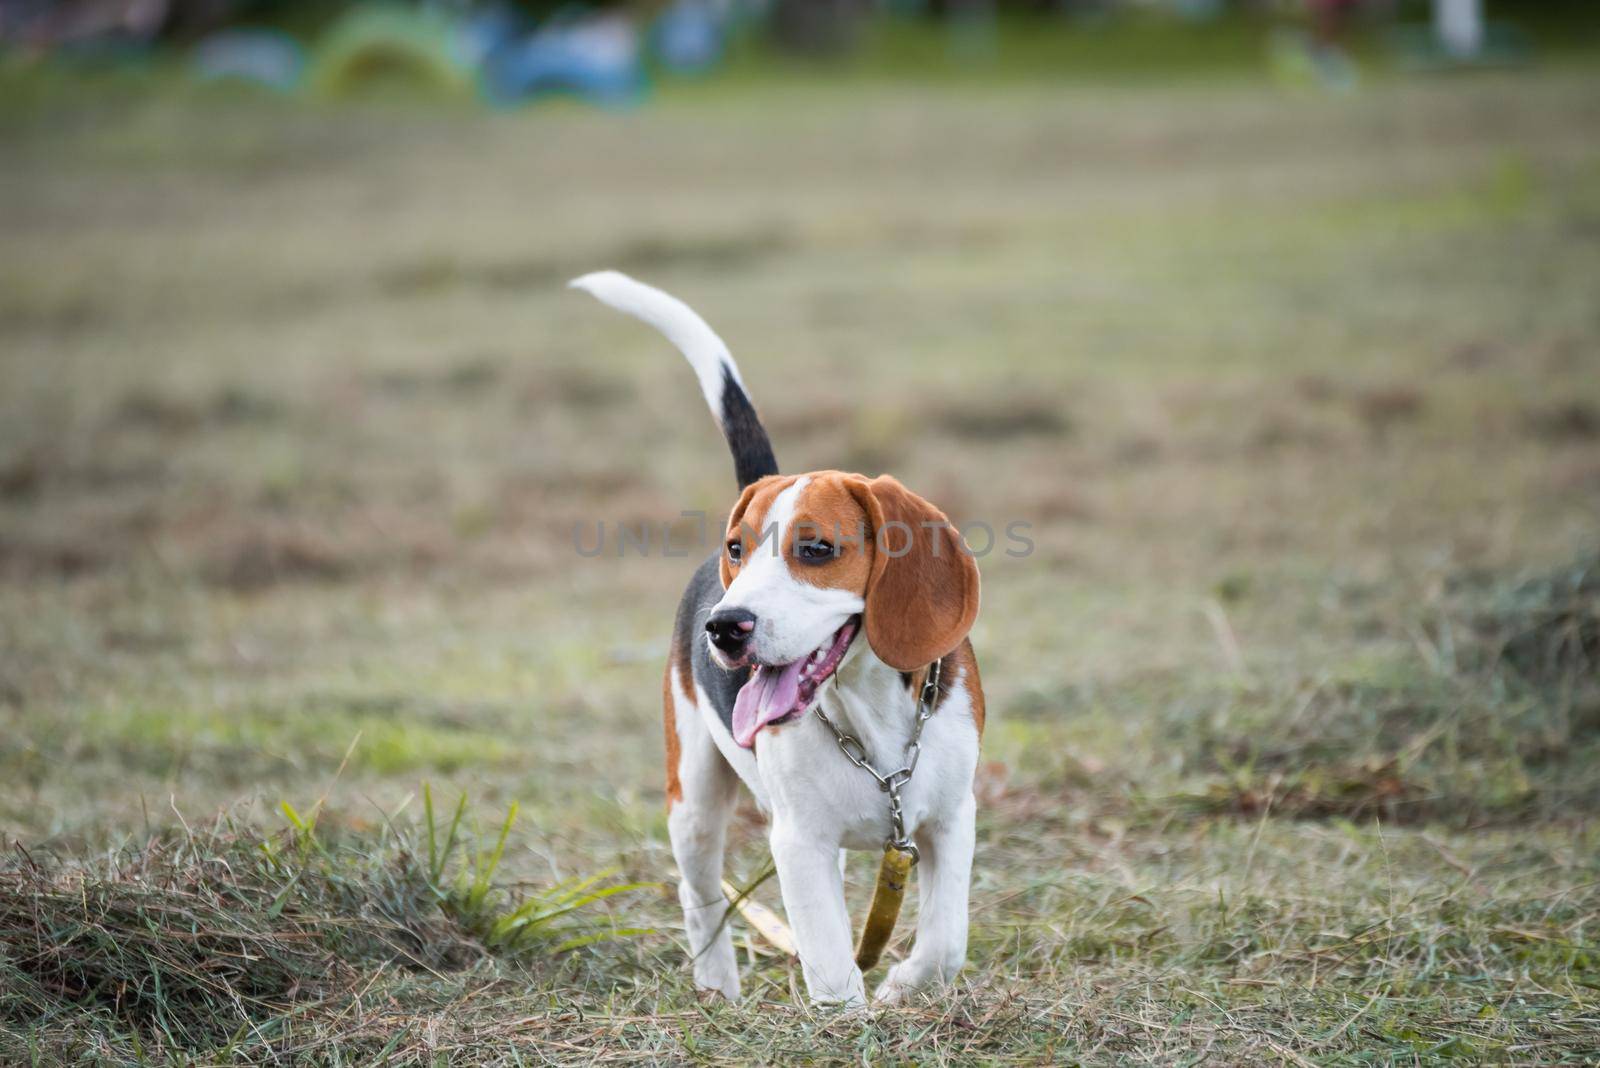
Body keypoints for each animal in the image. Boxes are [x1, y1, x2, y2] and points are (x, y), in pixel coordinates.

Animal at [569, 271, 979, 1004]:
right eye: (738, 548)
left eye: (815, 549)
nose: (724, 627)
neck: (868, 718)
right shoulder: (799, 842)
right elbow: (830, 964)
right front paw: (853, 1015)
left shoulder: (951, 819)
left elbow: (945, 942)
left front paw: (904, 985)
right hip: (694, 799)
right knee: (698, 890)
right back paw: (716, 984)